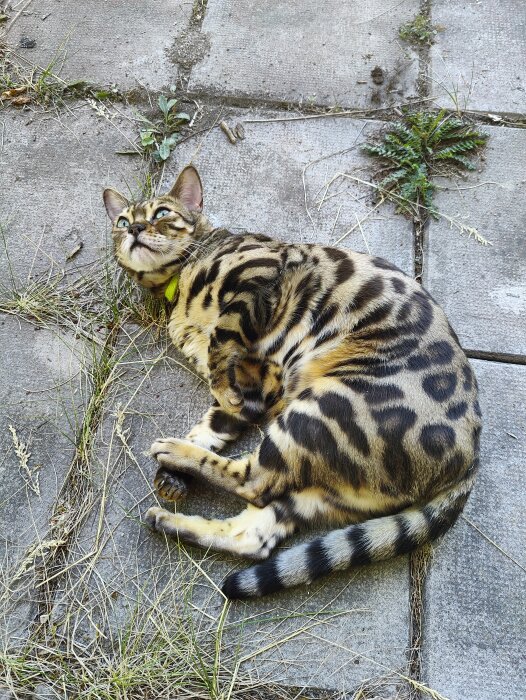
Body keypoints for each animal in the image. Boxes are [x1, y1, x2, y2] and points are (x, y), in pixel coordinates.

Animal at [102, 164, 482, 596]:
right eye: (122, 221)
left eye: (162, 213)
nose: (135, 229)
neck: (179, 287)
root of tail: (470, 461)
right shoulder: (258, 385)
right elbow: (211, 424)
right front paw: (173, 479)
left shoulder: (258, 278)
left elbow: (221, 348)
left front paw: (193, 440)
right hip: (323, 490)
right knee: (256, 533)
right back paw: (169, 514)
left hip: (323, 407)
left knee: (254, 480)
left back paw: (172, 451)